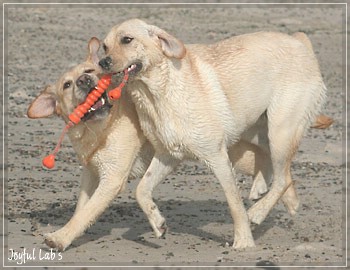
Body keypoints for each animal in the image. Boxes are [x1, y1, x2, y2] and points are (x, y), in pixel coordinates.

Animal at [26, 37, 274, 250]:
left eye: (89, 71)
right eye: (67, 85)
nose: (84, 81)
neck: (99, 130)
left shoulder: (112, 179)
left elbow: (86, 212)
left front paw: (60, 238)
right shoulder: (90, 174)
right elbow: (81, 209)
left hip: (235, 155)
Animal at [100, 19, 326, 249]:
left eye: (127, 39)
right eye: (105, 46)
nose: (103, 62)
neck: (157, 92)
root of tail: (300, 42)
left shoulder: (217, 157)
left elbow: (234, 202)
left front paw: (243, 241)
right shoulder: (168, 155)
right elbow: (141, 190)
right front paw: (158, 223)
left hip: (281, 131)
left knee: (282, 179)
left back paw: (257, 213)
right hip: (259, 131)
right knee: (280, 171)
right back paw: (282, 198)